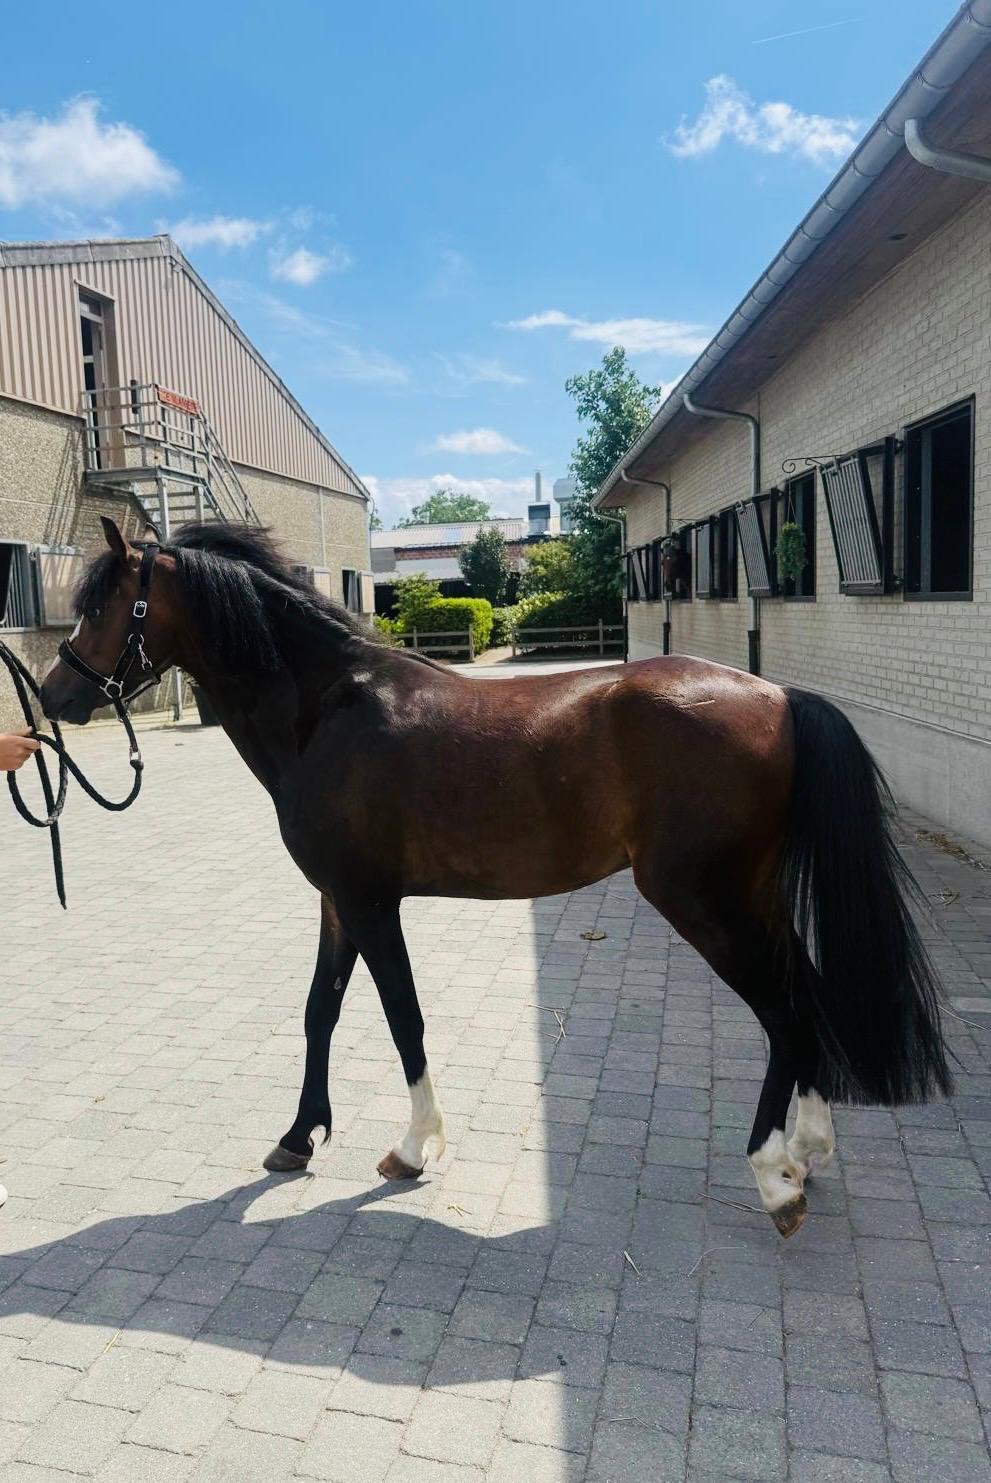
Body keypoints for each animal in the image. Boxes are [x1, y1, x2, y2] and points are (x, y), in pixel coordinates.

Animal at [40, 518, 951, 1238]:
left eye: (102, 606)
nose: (52, 698)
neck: (325, 710)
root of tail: (778, 696)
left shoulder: (371, 903)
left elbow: (401, 1017)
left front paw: (413, 1147)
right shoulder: (337, 900)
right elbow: (318, 1012)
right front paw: (298, 1136)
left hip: (701, 902)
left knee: (783, 1013)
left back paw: (771, 1174)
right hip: (750, 897)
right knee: (803, 993)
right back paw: (808, 1149)